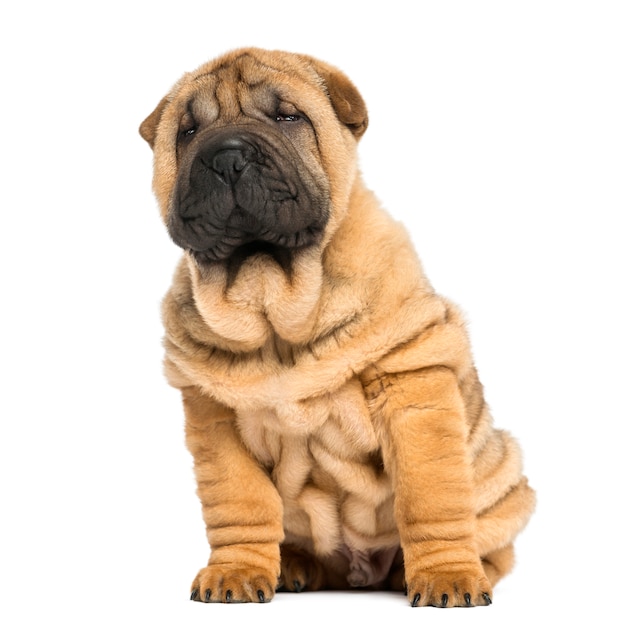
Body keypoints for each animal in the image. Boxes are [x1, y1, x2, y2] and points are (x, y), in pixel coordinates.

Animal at [139, 47, 532, 604]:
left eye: (288, 117)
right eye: (188, 131)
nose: (227, 156)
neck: (274, 303)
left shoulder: (412, 384)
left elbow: (429, 496)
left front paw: (447, 577)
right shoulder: (214, 416)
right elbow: (240, 503)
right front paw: (236, 572)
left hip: (502, 478)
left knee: (493, 543)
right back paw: (293, 566)